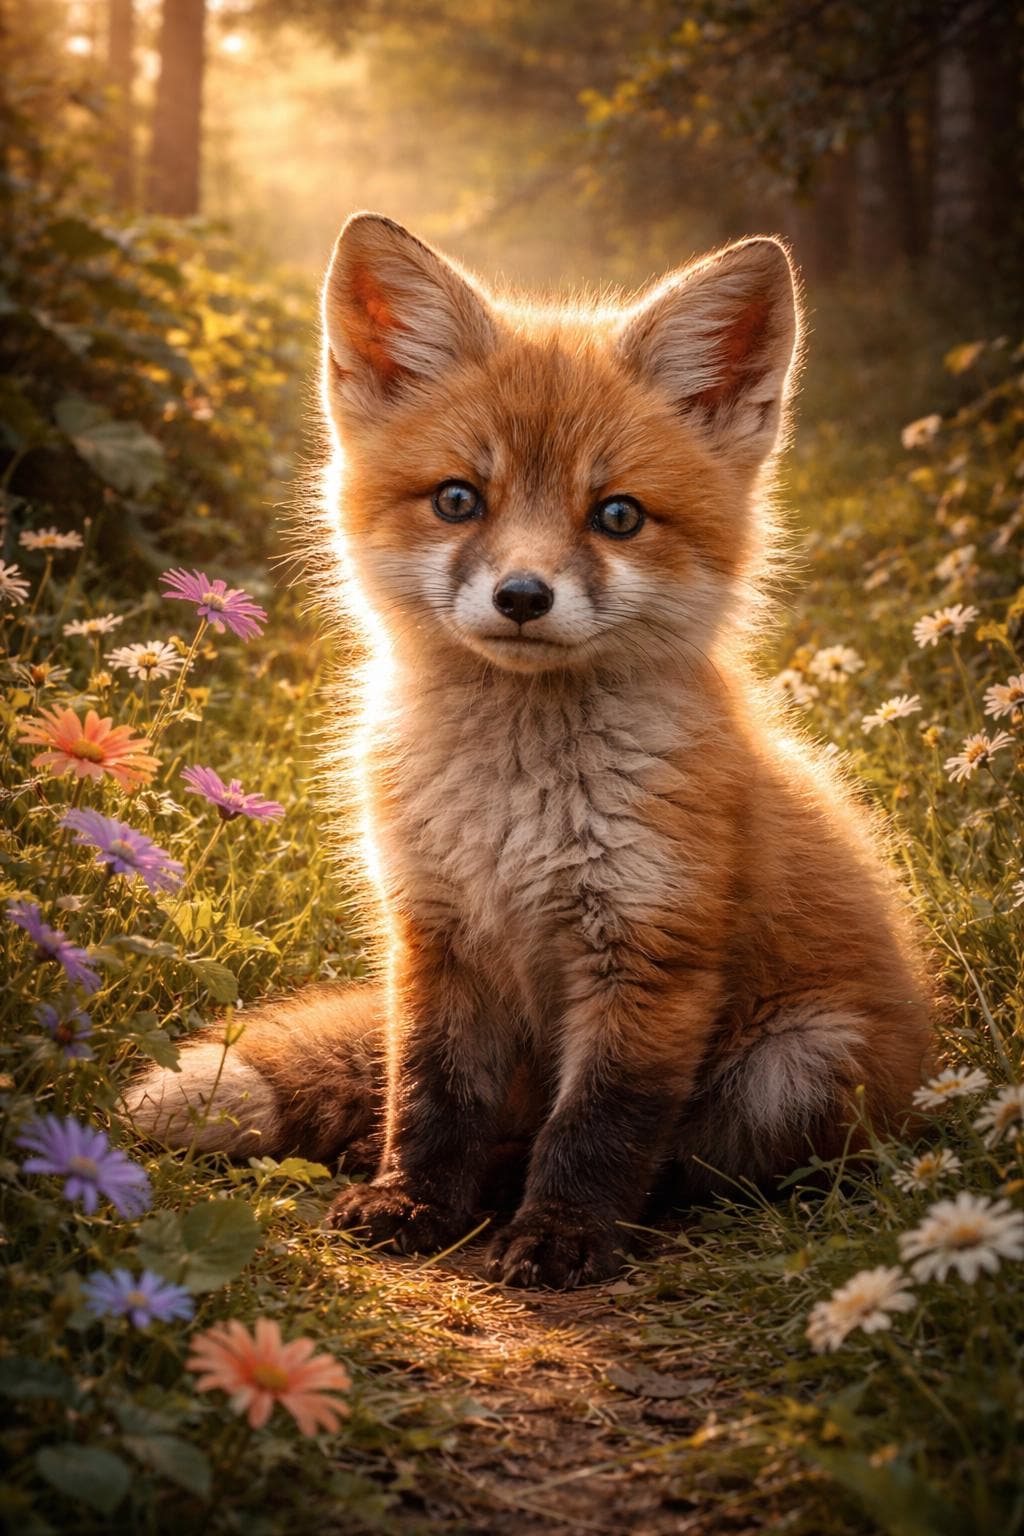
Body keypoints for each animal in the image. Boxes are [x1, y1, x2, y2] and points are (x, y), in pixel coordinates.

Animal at [126, 213, 934, 1288]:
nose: (521, 596)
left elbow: (600, 1126)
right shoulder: (435, 936)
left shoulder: (649, 952)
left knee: (689, 1161)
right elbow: (429, 1097)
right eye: (458, 500)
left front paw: (561, 1234)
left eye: (618, 515)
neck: (516, 807)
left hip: (797, 1066)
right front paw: (415, 1201)